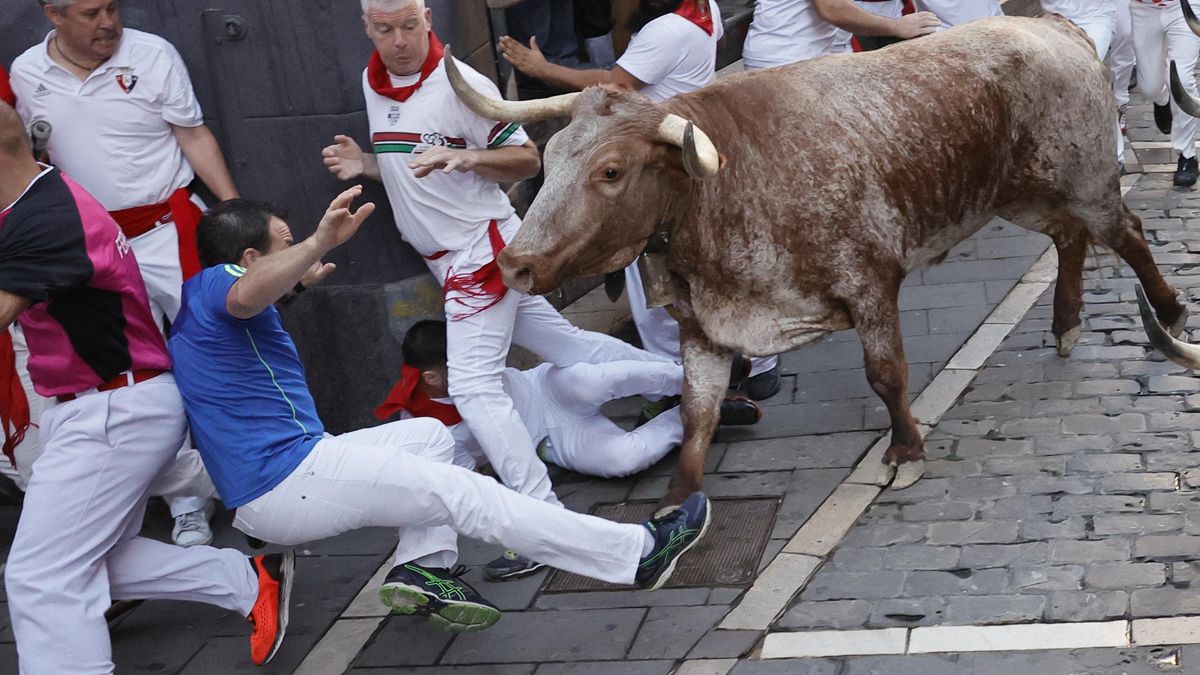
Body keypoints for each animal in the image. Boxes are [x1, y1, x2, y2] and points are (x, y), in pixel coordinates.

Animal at [446, 13, 1185, 504]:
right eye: (549, 158)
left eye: (611, 171)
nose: (515, 265)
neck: (724, 189)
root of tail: (1051, 25)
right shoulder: (704, 328)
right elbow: (695, 414)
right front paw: (679, 502)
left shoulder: (870, 283)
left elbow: (886, 374)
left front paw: (905, 450)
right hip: (1024, 194)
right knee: (1069, 239)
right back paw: (1066, 324)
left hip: (1085, 179)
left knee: (1128, 233)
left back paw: (1170, 312)